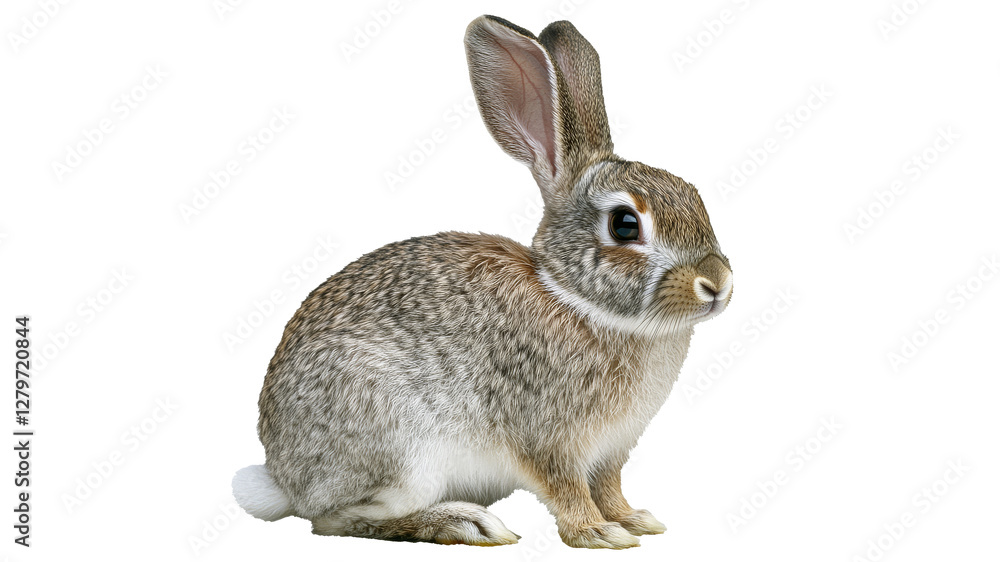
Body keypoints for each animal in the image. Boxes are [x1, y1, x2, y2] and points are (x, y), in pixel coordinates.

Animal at [233, 14, 733, 549]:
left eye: (694, 195)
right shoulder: (547, 436)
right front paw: (597, 533)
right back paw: (462, 523)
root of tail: (284, 478)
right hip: (400, 448)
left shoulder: (611, 450)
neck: (574, 297)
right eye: (624, 225)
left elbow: (608, 485)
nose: (717, 283)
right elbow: (566, 488)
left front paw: (634, 519)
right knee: (335, 519)